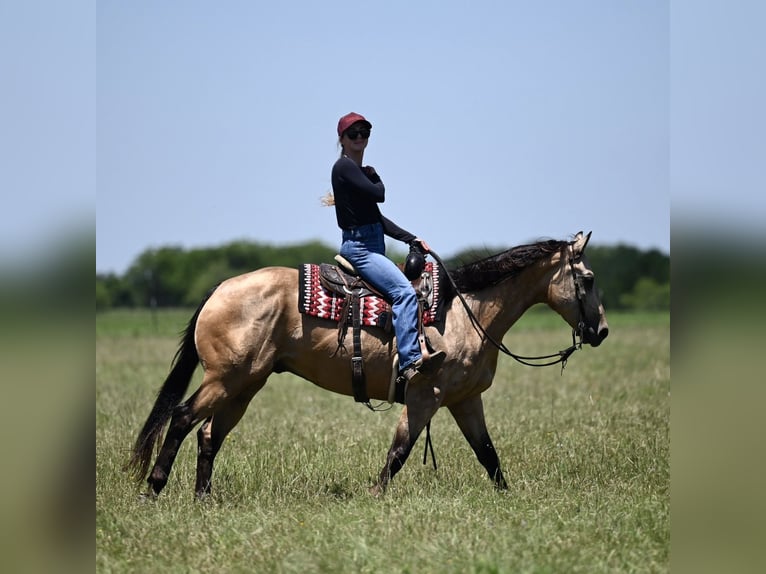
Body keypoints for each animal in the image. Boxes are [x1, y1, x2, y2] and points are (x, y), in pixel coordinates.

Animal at [126, 231, 608, 498]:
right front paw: (375, 494)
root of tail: (219, 289)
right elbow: (400, 450)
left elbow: (488, 454)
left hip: (245, 385)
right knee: (182, 417)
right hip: (224, 380)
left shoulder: (465, 400)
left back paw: (202, 499)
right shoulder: (425, 395)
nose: (601, 330)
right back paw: (154, 488)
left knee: (209, 434)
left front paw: (508, 498)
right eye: (587, 279)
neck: (466, 310)